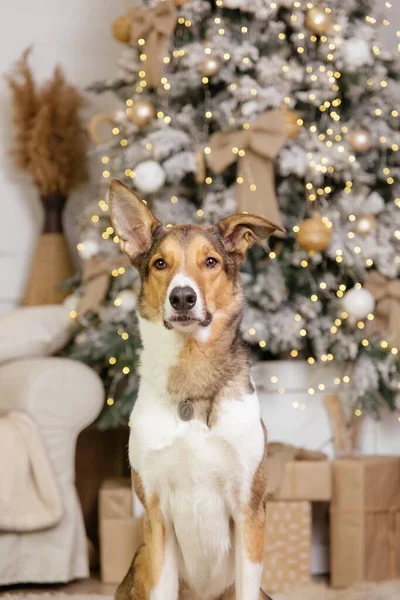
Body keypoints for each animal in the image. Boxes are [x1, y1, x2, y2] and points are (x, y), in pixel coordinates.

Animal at [108, 179, 280, 600]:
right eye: (160, 264)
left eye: (211, 262)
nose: (182, 297)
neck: (192, 375)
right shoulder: (154, 511)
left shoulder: (250, 508)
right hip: (139, 562)